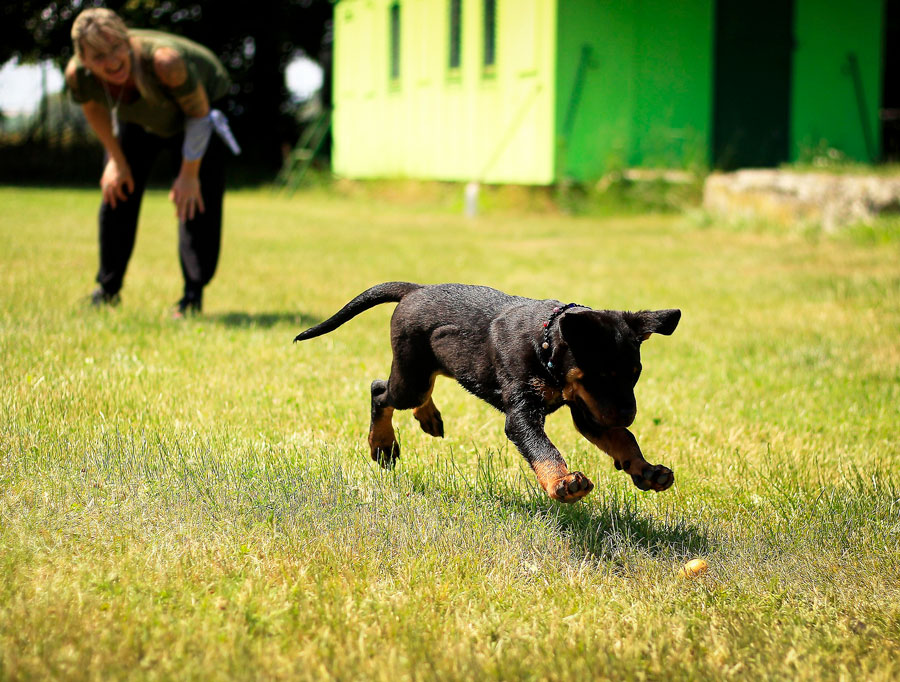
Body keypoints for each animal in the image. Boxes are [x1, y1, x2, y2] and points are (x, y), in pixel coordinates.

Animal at [292, 282, 680, 504]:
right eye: (601, 376)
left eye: (635, 375)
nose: (629, 414)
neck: (545, 342)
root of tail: (414, 289)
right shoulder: (523, 414)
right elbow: (544, 449)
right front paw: (562, 483)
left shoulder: (589, 411)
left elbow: (624, 439)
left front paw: (646, 471)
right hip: (411, 377)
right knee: (380, 391)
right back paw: (382, 445)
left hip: (432, 367)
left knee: (418, 389)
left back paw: (428, 417)